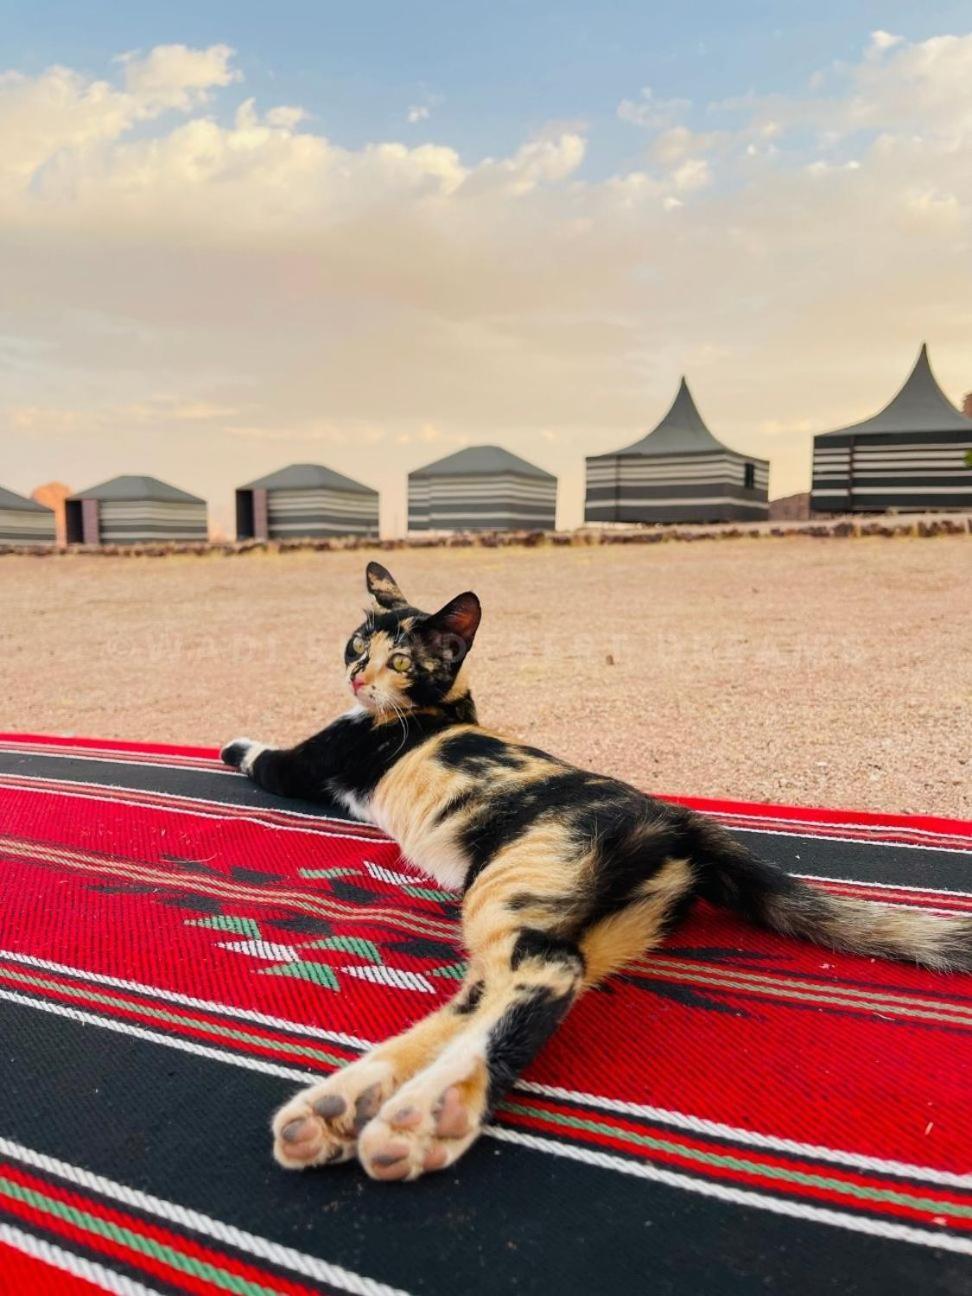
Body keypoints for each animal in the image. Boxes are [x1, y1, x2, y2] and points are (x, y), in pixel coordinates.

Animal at [224, 559, 972, 1187]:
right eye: (358, 645)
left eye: (401, 659)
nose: (357, 677)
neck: (441, 708)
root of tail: (677, 820)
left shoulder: (309, 763)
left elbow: (264, 757)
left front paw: (231, 743)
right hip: (601, 921)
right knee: (498, 992)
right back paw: (352, 1105)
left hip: (510, 882)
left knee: (544, 972)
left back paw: (421, 1115)